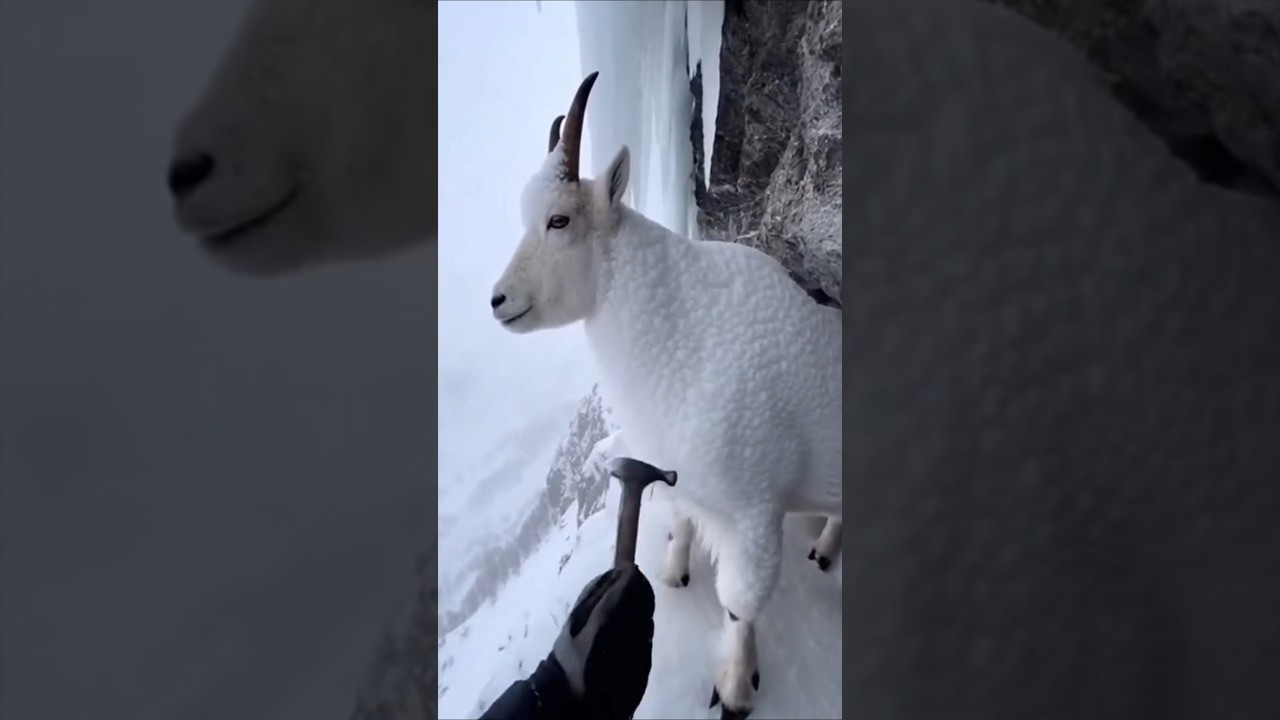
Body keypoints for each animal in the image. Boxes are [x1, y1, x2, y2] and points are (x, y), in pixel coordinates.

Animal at [490, 72, 843, 718]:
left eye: (559, 221)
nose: (498, 300)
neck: (683, 329)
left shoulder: (754, 511)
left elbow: (741, 602)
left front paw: (736, 687)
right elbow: (679, 516)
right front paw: (675, 572)